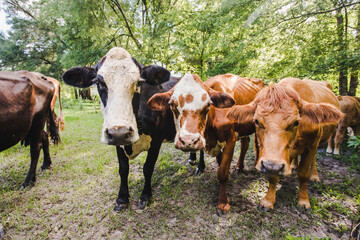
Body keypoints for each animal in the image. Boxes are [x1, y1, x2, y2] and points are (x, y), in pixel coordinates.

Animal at [63, 47, 180, 210]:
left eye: (138, 82)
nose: (121, 132)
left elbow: (148, 167)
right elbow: (123, 169)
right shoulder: (117, 141)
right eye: (99, 82)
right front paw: (122, 198)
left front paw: (145, 195)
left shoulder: (156, 140)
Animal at [148, 73, 262, 212]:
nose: (188, 141)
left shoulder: (230, 140)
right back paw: (239, 166)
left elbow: (222, 172)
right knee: (246, 142)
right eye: (172, 104)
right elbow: (220, 165)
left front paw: (223, 202)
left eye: (208, 105)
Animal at [226, 78, 342, 209]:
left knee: (313, 159)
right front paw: (268, 201)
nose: (272, 165)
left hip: (316, 143)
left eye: (296, 122)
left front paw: (303, 201)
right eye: (256, 121)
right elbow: (273, 176)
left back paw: (314, 176)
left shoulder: (310, 146)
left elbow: (303, 174)